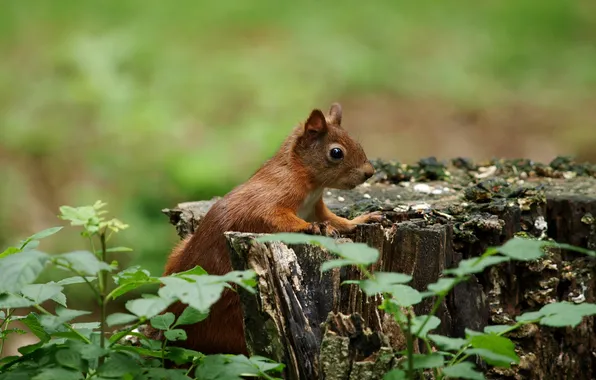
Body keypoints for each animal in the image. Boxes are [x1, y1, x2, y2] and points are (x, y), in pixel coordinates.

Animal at [149, 101, 382, 356]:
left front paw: (360, 219)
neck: (308, 182)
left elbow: (338, 220)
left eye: (357, 143)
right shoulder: (268, 200)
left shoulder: (316, 207)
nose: (369, 173)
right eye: (336, 152)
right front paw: (315, 228)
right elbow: (276, 218)